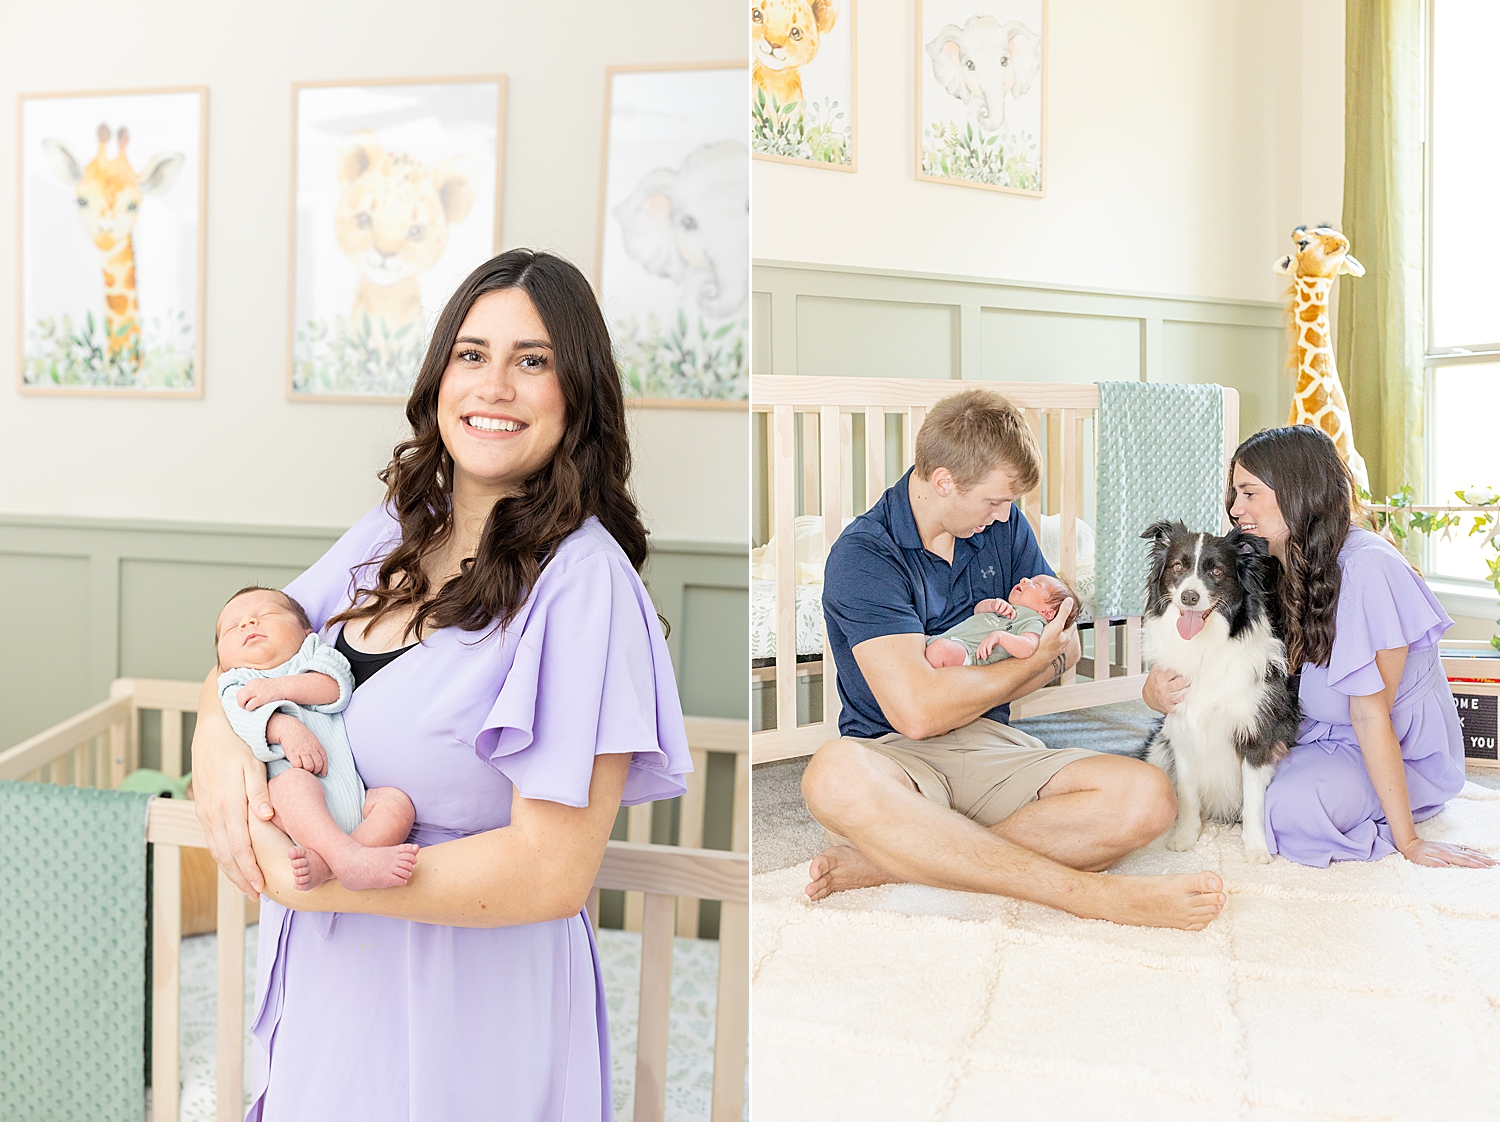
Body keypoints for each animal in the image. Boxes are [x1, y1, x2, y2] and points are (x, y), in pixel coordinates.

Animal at [1140, 522, 1296, 864]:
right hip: (1158, 747)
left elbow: (1253, 800)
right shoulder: (1181, 731)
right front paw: (1185, 837)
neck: (1206, 647)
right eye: (1178, 567)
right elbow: (1187, 794)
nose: (1189, 596)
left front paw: (1255, 849)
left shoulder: (1256, 736)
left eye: (1216, 571)